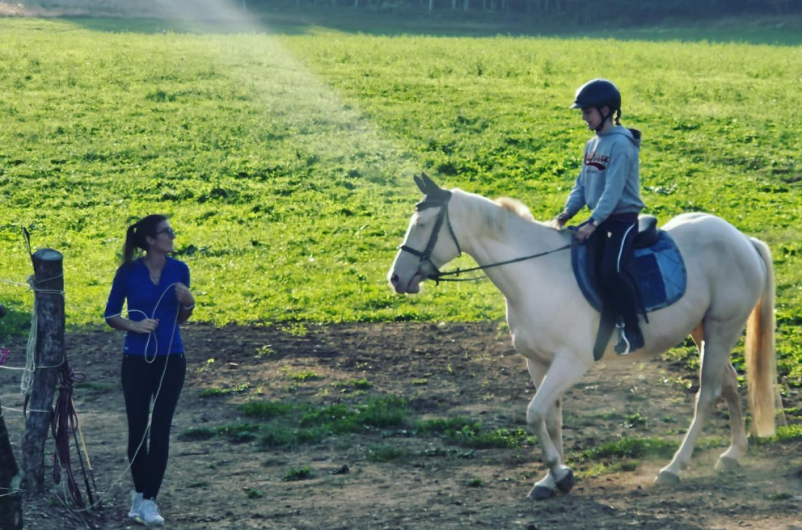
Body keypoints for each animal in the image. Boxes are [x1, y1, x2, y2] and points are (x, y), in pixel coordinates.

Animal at [388, 174, 776, 500]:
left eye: (422, 225)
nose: (396, 278)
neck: (534, 273)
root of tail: (741, 238)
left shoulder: (571, 362)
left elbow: (533, 413)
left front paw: (561, 475)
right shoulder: (538, 361)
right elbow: (550, 418)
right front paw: (552, 478)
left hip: (722, 328)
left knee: (707, 395)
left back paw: (674, 468)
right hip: (703, 331)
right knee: (729, 382)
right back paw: (733, 454)